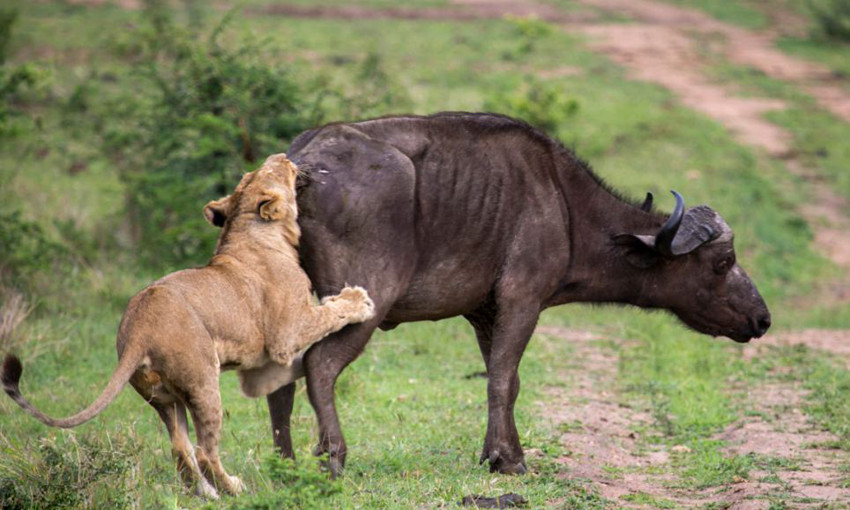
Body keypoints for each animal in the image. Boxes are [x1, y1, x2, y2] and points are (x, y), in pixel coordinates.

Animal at [2, 153, 374, 500]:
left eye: (250, 173)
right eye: (272, 172)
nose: (281, 156)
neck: (253, 232)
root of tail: (138, 327)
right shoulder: (287, 333)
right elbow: (329, 314)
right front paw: (359, 300)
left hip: (163, 397)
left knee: (180, 448)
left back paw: (207, 493)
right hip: (204, 383)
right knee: (204, 450)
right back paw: (233, 488)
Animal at [225, 110, 768, 474]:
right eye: (722, 262)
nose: (762, 319)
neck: (564, 205)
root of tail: (301, 166)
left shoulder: (485, 314)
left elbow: (506, 380)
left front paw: (499, 452)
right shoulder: (522, 301)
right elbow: (504, 381)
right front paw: (509, 460)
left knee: (283, 375)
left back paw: (285, 463)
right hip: (365, 301)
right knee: (319, 366)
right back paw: (332, 456)